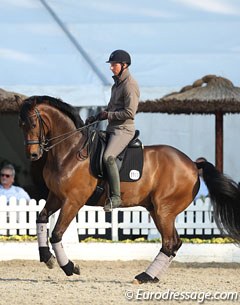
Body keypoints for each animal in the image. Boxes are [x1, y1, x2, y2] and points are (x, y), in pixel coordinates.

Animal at [17, 95, 240, 282]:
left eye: (34, 123)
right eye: (21, 124)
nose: (33, 155)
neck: (70, 151)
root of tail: (193, 164)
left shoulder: (73, 201)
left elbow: (56, 233)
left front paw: (69, 267)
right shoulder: (56, 196)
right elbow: (41, 219)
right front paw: (47, 257)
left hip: (164, 211)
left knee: (169, 243)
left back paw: (145, 277)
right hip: (158, 211)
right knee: (174, 243)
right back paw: (152, 277)